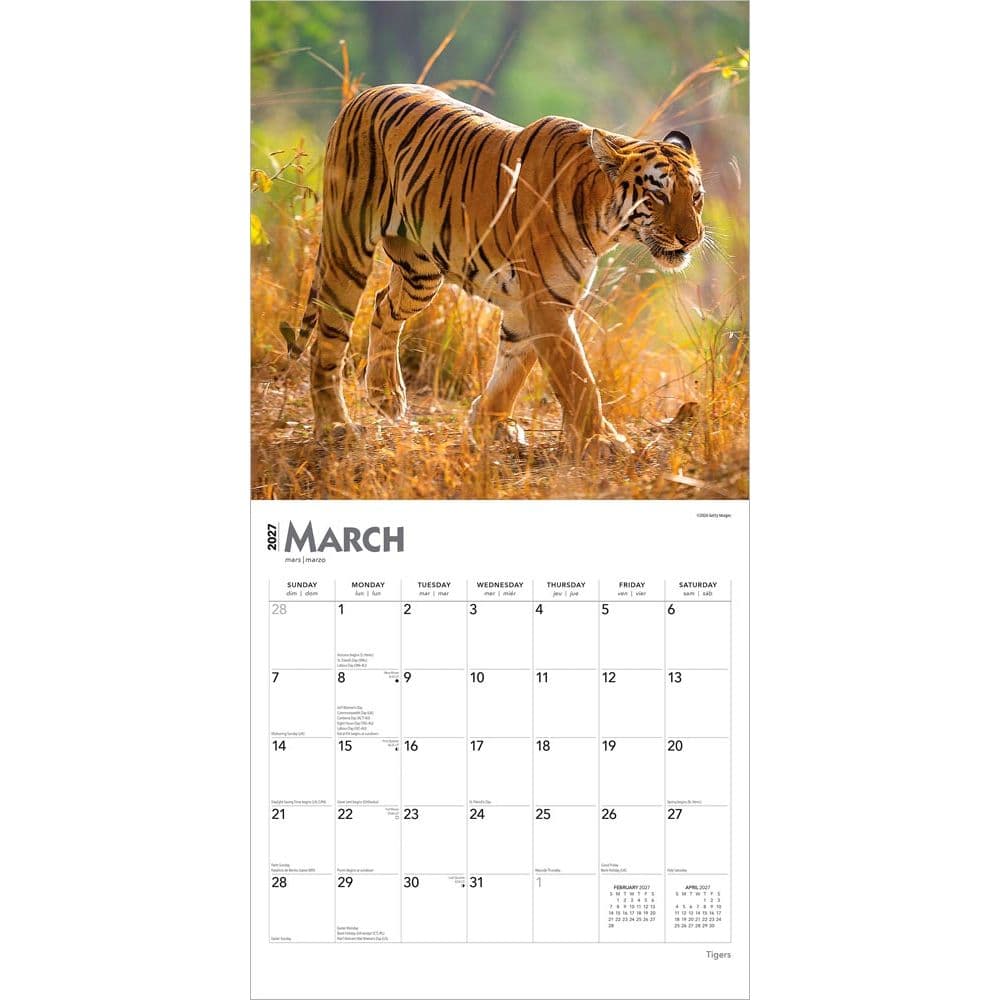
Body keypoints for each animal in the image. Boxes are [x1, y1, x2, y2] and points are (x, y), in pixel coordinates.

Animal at [283, 83, 704, 458]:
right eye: (658, 194)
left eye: (696, 196)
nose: (691, 239)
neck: (603, 222)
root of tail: (364, 94)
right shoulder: (547, 302)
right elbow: (578, 378)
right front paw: (602, 441)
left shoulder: (536, 304)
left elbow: (512, 370)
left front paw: (487, 423)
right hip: (348, 250)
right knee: (328, 342)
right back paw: (336, 426)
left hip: (421, 272)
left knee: (384, 304)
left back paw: (386, 395)